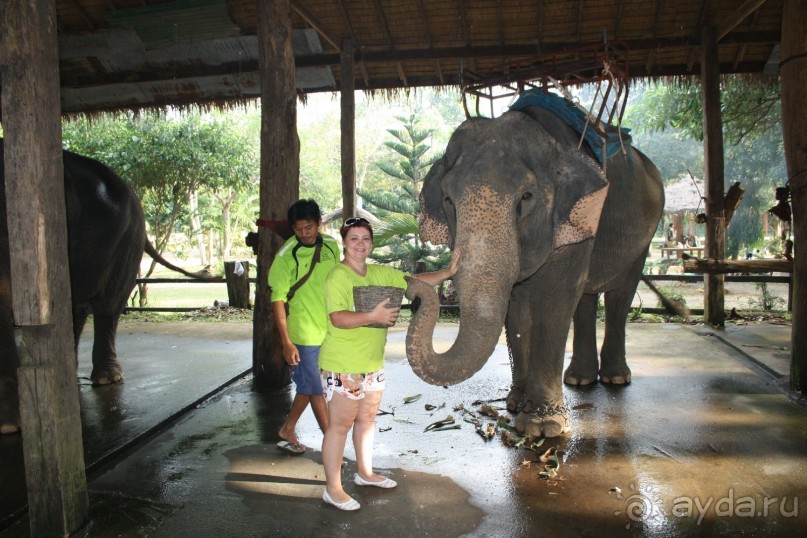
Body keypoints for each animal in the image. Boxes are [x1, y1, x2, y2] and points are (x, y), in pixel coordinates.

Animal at [404, 99, 664, 436]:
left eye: (526, 198)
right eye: (448, 200)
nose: (414, 284)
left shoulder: (575, 220)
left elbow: (554, 302)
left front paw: (543, 427)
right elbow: (516, 309)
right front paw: (516, 404)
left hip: (646, 234)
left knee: (620, 295)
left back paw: (615, 378)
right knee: (585, 299)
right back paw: (579, 379)